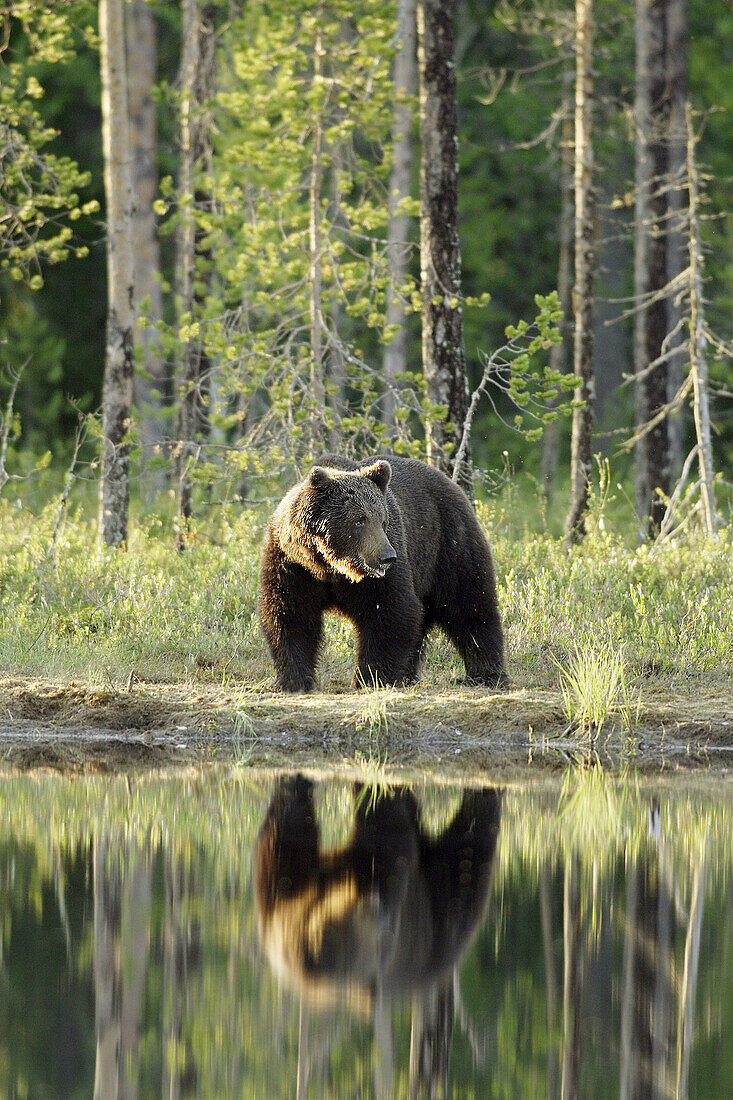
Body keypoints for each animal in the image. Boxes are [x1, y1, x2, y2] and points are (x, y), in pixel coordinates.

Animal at [255, 451, 501, 690]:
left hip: (447, 543)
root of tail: (450, 481)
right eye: (359, 520)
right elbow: (290, 615)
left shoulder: (382, 575)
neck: (329, 568)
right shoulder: (291, 565)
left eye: (383, 521)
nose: (387, 556)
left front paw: (370, 678)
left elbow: (391, 612)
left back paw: (486, 675)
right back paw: (407, 676)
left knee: (469, 605)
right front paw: (295, 680)